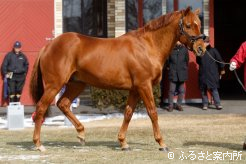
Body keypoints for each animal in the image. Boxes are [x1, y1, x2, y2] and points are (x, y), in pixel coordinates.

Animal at [29, 7, 206, 152]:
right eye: (188, 25)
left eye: (198, 24)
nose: (201, 48)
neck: (147, 46)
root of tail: (48, 46)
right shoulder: (144, 86)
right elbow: (153, 112)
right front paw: (162, 143)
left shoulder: (135, 89)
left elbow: (128, 113)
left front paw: (123, 143)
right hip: (55, 85)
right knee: (41, 107)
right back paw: (38, 144)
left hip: (76, 84)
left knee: (63, 104)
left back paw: (81, 134)